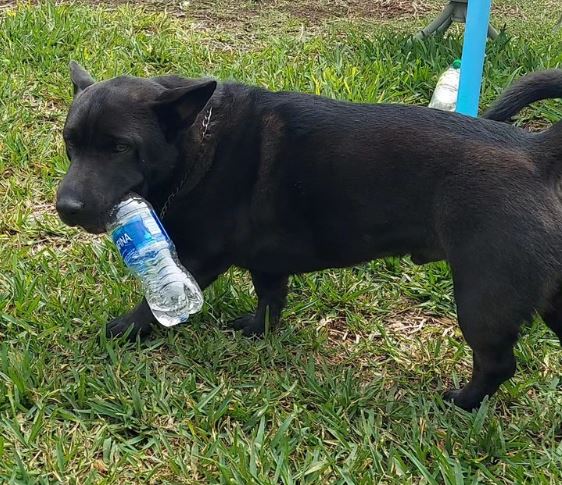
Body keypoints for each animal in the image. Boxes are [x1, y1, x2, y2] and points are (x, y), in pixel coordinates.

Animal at [55, 61, 560, 408]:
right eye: (70, 142)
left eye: (120, 147)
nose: (66, 207)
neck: (198, 141)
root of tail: (538, 152)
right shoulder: (267, 261)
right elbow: (270, 296)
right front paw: (258, 330)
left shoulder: (198, 258)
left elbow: (153, 303)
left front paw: (125, 328)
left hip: (482, 298)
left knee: (497, 363)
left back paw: (462, 402)